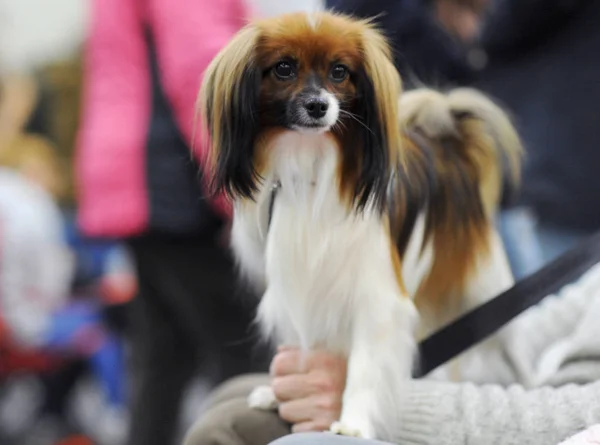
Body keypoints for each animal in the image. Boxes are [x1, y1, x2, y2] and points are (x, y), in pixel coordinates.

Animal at [198, 11, 520, 440]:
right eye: (284, 68)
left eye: (339, 72)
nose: (319, 106)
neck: (311, 168)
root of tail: (450, 146)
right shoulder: (298, 280)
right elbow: (303, 343)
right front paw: (279, 393)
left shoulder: (377, 297)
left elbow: (365, 366)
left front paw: (353, 423)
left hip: (486, 294)